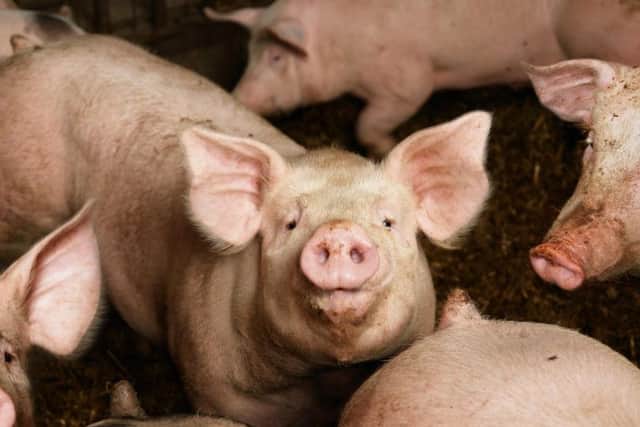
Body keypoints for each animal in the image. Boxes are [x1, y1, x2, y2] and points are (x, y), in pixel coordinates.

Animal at [204, 0, 640, 156]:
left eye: (277, 56)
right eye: (248, 54)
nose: (239, 96)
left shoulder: (408, 84)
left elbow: (367, 124)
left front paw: (386, 147)